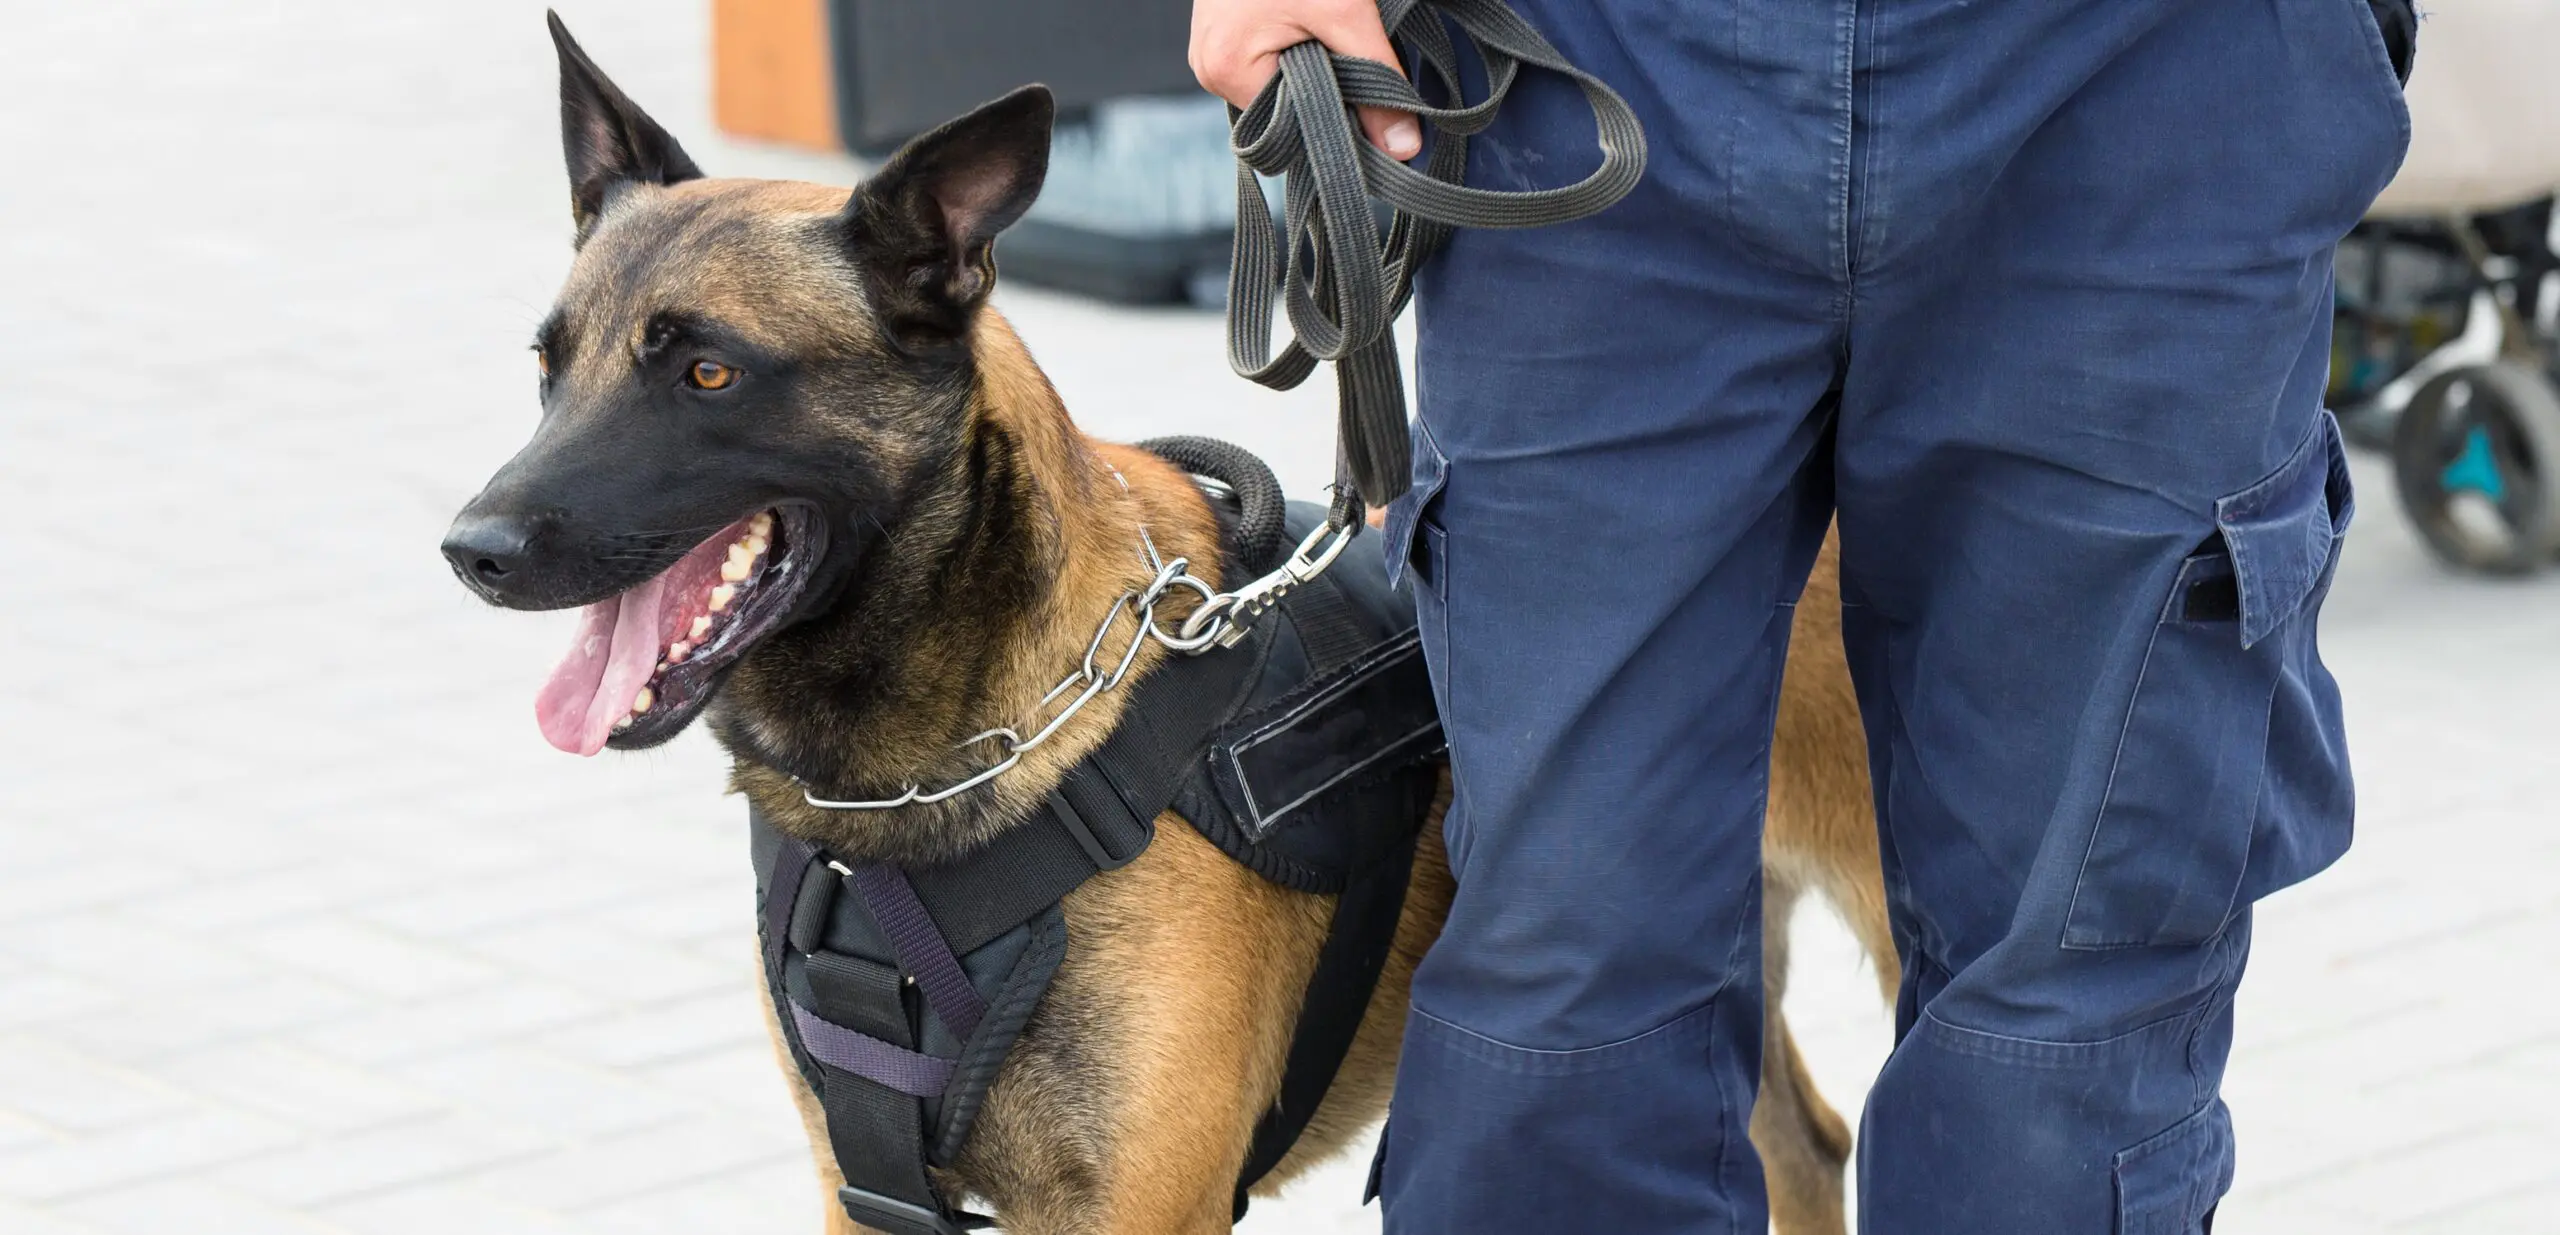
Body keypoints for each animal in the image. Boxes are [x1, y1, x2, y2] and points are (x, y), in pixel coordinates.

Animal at [435, 19, 1884, 1235]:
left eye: (707, 371)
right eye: (549, 367)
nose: (472, 550)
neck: (950, 770)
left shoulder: (1142, 1203)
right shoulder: (867, 1186)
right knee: (1803, 1145)